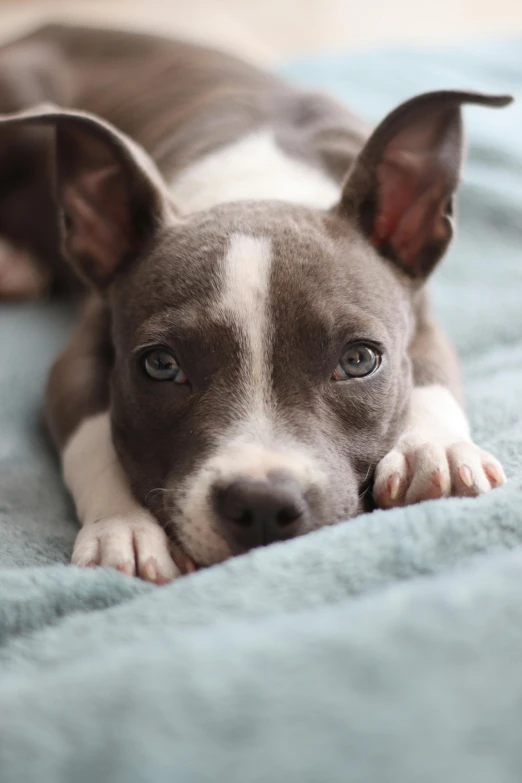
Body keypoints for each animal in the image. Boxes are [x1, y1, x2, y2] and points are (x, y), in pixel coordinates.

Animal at [0, 23, 510, 580]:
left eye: (359, 360)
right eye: (160, 365)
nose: (262, 502)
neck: (260, 184)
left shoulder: (423, 317)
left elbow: (434, 380)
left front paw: (433, 450)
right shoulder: (77, 356)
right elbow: (93, 435)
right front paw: (124, 527)